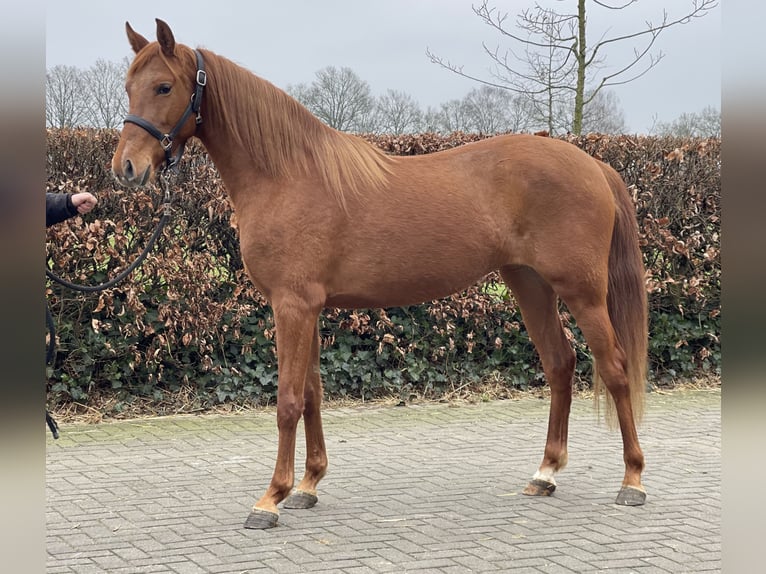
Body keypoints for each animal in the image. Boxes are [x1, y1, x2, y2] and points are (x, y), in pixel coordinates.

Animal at [111, 18, 652, 532]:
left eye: (163, 86)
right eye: (128, 86)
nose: (127, 168)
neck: (287, 176)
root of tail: (593, 165)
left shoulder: (293, 305)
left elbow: (287, 400)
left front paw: (270, 499)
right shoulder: (307, 308)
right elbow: (312, 393)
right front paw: (307, 485)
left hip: (582, 292)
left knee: (614, 368)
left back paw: (632, 480)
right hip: (529, 283)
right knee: (560, 364)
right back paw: (545, 474)